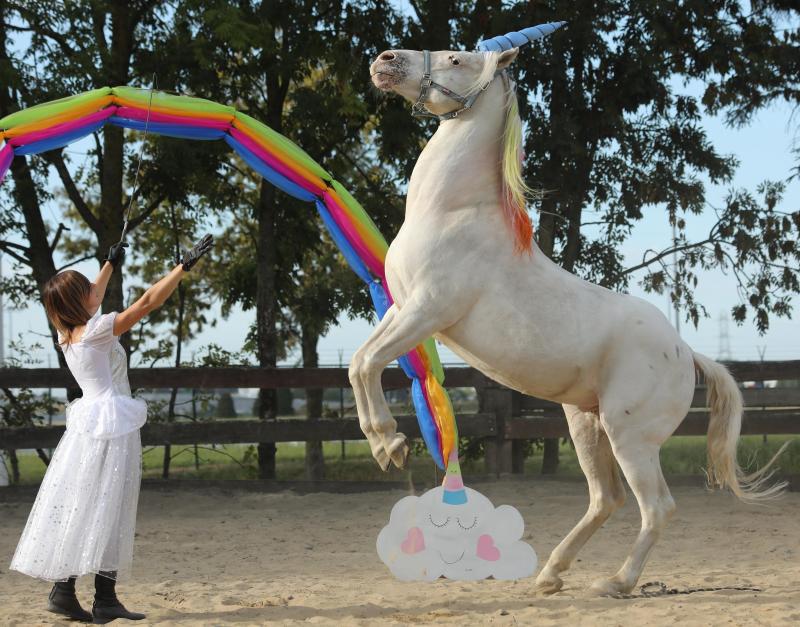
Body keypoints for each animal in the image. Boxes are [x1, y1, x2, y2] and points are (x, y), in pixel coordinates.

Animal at [358, 46, 788, 596]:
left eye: (456, 58)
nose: (385, 60)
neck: (452, 214)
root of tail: (686, 353)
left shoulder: (427, 310)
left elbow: (368, 362)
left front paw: (388, 444)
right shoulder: (402, 308)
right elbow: (358, 361)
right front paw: (384, 442)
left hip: (630, 438)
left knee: (656, 508)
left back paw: (615, 583)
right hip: (585, 424)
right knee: (607, 500)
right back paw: (550, 574)